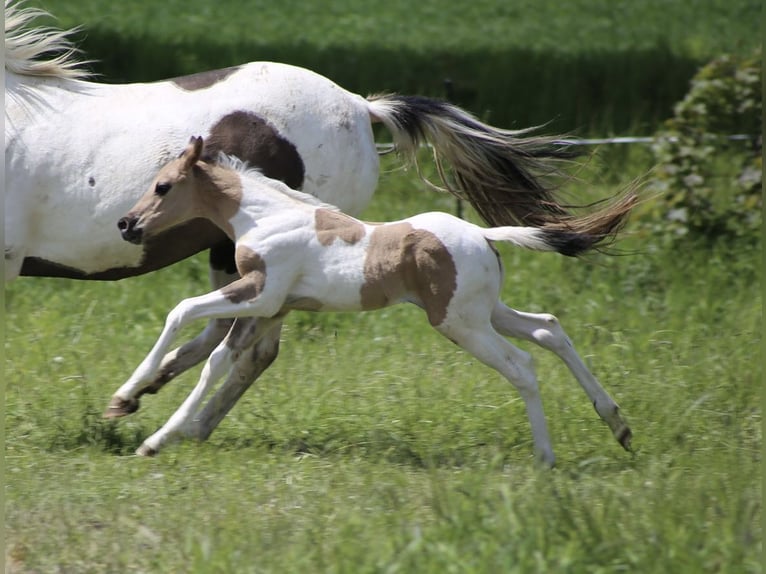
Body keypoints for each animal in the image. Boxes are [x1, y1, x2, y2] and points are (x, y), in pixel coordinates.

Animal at [5, 1, 627, 423]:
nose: (127, 224)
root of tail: (359, 105)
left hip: (267, 261)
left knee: (247, 346)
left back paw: (166, 413)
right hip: (237, 254)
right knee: (229, 338)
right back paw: (151, 398)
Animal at [108, 136, 635, 463]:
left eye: (163, 186)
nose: (126, 224)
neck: (266, 216)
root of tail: (484, 233)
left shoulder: (259, 294)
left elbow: (182, 313)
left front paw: (137, 414)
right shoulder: (272, 309)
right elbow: (219, 361)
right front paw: (150, 422)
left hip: (460, 323)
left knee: (523, 364)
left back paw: (546, 457)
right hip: (486, 313)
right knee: (549, 328)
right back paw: (618, 426)